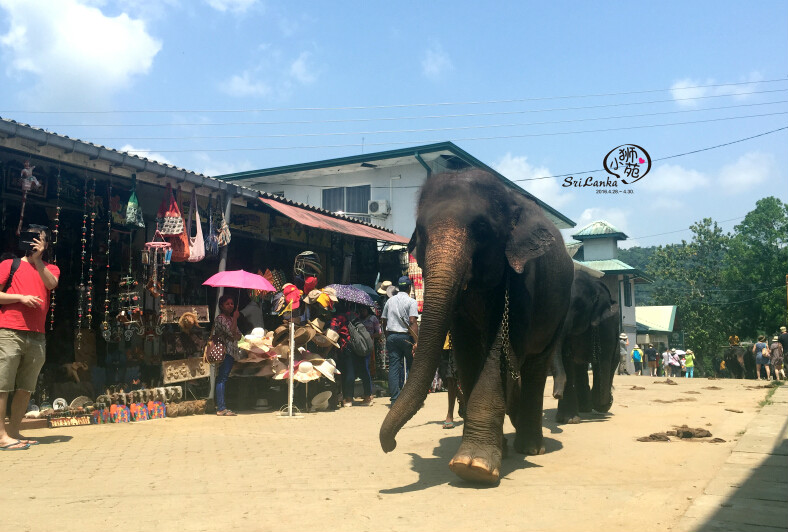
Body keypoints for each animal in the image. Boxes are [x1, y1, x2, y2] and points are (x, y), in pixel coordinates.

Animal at [378, 168, 572, 484]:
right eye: (422, 233)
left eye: (482, 229)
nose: (390, 445)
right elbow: (467, 351)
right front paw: (487, 456)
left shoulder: (523, 281)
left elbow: (500, 350)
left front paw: (473, 466)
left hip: (560, 307)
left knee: (536, 366)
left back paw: (531, 448)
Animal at [556, 270, 620, 424]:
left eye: (578, 305)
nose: (556, 395)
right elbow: (565, 357)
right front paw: (568, 420)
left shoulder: (606, 325)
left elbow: (604, 359)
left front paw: (602, 404)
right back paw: (586, 407)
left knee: (610, 363)